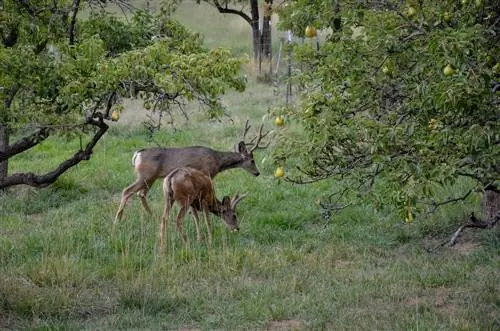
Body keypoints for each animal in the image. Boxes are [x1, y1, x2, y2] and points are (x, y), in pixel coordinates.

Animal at [114, 120, 268, 224]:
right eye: (252, 160)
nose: (257, 173)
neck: (217, 161)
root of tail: (137, 154)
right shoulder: (207, 173)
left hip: (150, 178)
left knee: (141, 194)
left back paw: (151, 216)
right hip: (145, 175)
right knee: (127, 191)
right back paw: (118, 219)